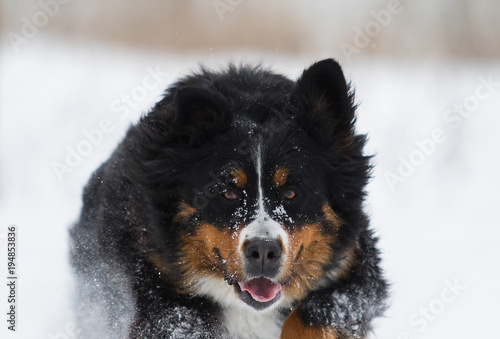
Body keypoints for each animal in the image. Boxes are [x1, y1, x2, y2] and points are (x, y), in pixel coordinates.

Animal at [71, 59, 386, 339]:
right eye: (228, 192)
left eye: (291, 193)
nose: (263, 251)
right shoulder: (152, 269)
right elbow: (183, 320)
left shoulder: (356, 265)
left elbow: (322, 313)